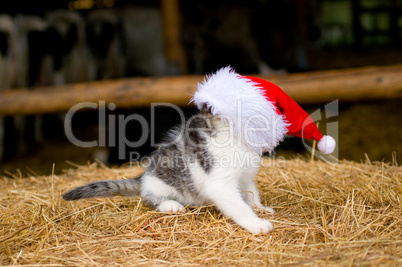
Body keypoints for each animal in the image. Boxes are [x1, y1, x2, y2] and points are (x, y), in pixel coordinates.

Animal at [62, 108, 274, 236]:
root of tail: (144, 177)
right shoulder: (220, 183)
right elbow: (239, 207)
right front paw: (256, 224)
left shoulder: (245, 177)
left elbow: (252, 195)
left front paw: (261, 208)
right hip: (160, 183)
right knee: (150, 198)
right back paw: (171, 206)